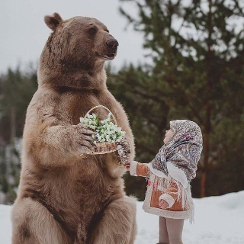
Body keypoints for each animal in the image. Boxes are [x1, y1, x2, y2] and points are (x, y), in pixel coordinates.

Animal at [10, 12, 137, 244]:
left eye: (107, 28)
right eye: (92, 29)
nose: (113, 42)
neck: (78, 85)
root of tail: (79, 236)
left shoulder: (107, 100)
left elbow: (123, 135)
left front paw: (121, 146)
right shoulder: (48, 99)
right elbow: (40, 138)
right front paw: (80, 136)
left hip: (104, 203)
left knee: (121, 212)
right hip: (48, 204)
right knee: (31, 216)